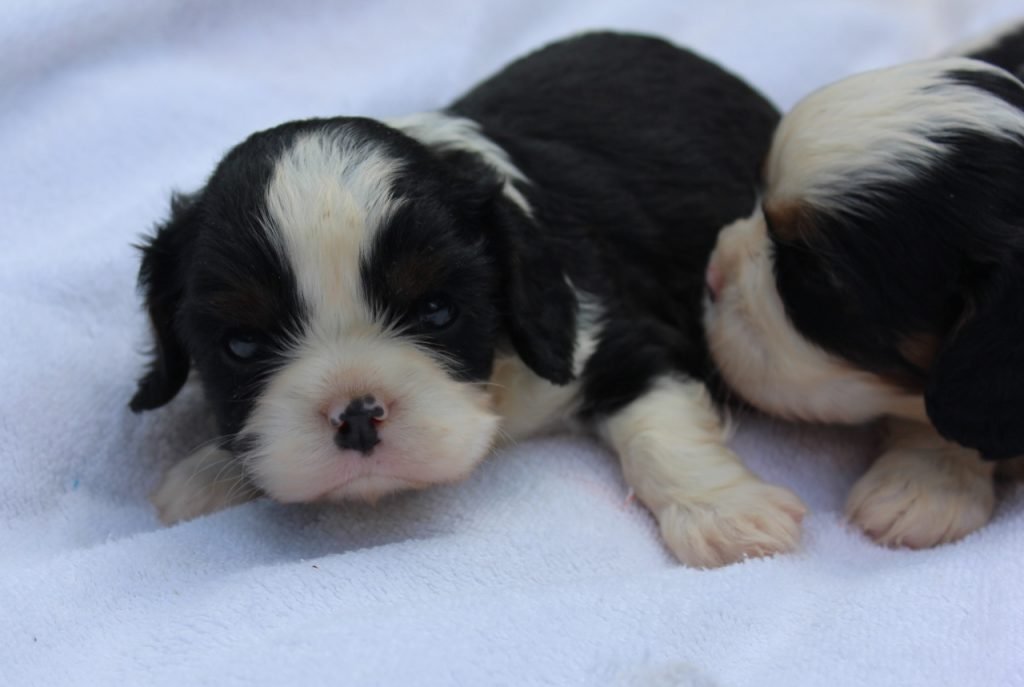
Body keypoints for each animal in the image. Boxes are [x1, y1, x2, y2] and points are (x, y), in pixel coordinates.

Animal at [130, 33, 798, 569]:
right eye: (242, 345)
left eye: (437, 312)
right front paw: (203, 476)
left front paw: (727, 513)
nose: (357, 414)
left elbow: (660, 425)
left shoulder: (613, 333)